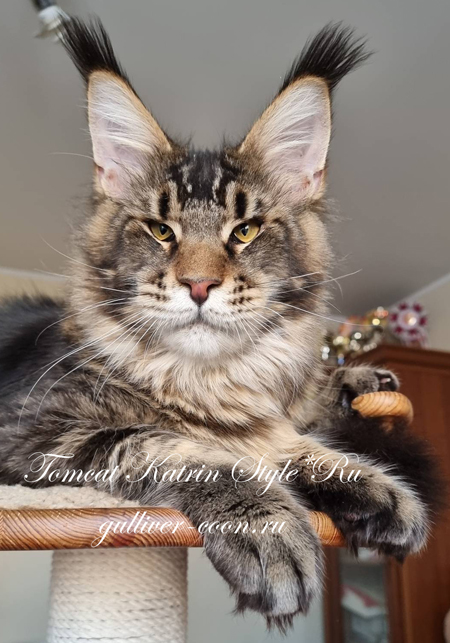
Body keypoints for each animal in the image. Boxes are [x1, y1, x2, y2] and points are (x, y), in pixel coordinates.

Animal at [0, 19, 443, 631]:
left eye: (246, 231)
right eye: (161, 230)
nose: (199, 285)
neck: (209, 380)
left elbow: (292, 443)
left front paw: (370, 477)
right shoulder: (35, 434)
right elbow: (181, 448)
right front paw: (268, 524)